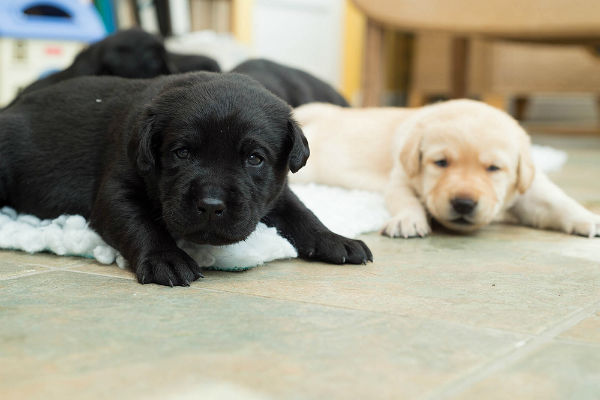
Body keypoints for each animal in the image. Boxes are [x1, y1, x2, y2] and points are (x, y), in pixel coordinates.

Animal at [0, 71, 372, 284]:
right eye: (181, 153)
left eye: (254, 159)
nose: (211, 205)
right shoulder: (117, 187)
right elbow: (140, 223)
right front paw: (167, 259)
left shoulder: (276, 191)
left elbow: (300, 212)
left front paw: (335, 239)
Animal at [292, 99, 600, 238]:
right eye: (441, 162)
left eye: (493, 168)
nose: (463, 203)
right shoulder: (401, 177)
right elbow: (405, 199)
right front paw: (408, 220)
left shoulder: (529, 186)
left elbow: (556, 201)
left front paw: (589, 219)